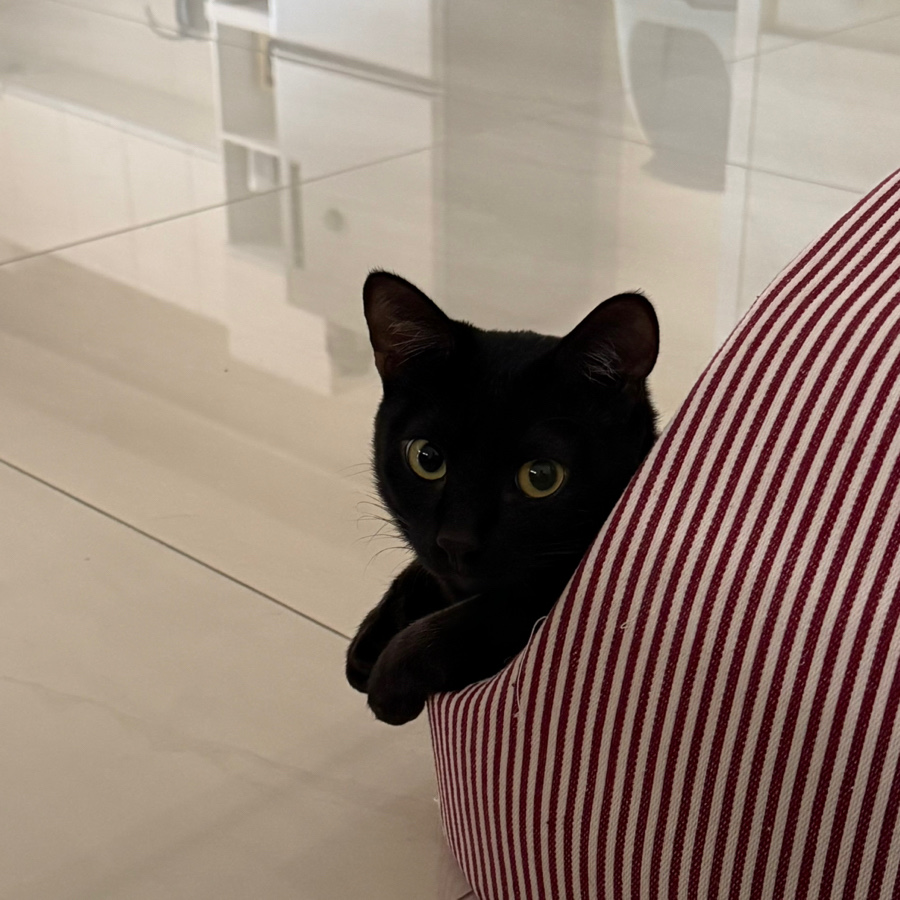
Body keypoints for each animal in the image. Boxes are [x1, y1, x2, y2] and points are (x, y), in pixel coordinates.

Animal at [346, 271, 659, 725]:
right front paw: (370, 640)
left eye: (541, 477)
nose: (456, 541)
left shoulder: (542, 597)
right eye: (427, 458)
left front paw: (391, 676)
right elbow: (419, 572)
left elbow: (494, 608)